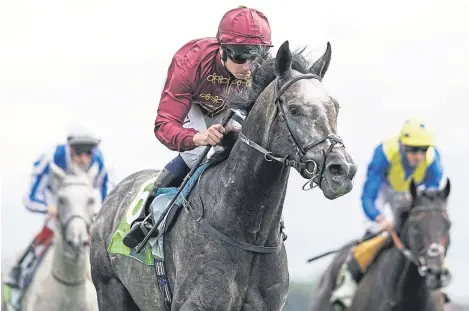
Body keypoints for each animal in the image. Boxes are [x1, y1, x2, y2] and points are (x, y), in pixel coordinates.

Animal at [89, 41, 356, 311]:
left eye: (335, 107)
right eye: (294, 109)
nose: (342, 170)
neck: (248, 234)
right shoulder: (195, 304)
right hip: (110, 289)